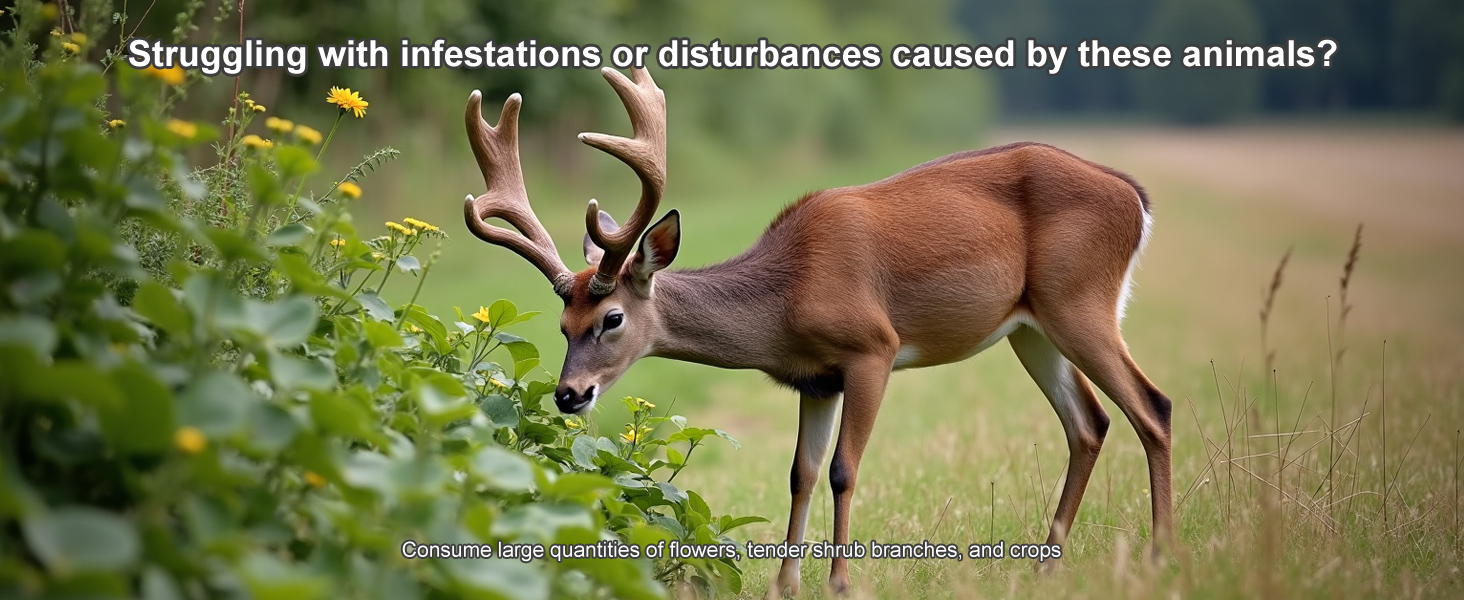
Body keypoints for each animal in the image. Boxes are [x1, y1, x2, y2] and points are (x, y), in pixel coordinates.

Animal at [461, 67, 1173, 596]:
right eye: (562, 324)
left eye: (610, 319)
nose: (569, 394)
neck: (785, 303)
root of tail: (1138, 199)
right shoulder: (815, 379)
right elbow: (800, 473)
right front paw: (784, 584)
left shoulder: (873, 350)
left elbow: (842, 470)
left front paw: (839, 582)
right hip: (1031, 328)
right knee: (1089, 423)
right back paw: (1046, 564)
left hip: (1081, 301)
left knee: (1152, 407)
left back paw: (1161, 556)